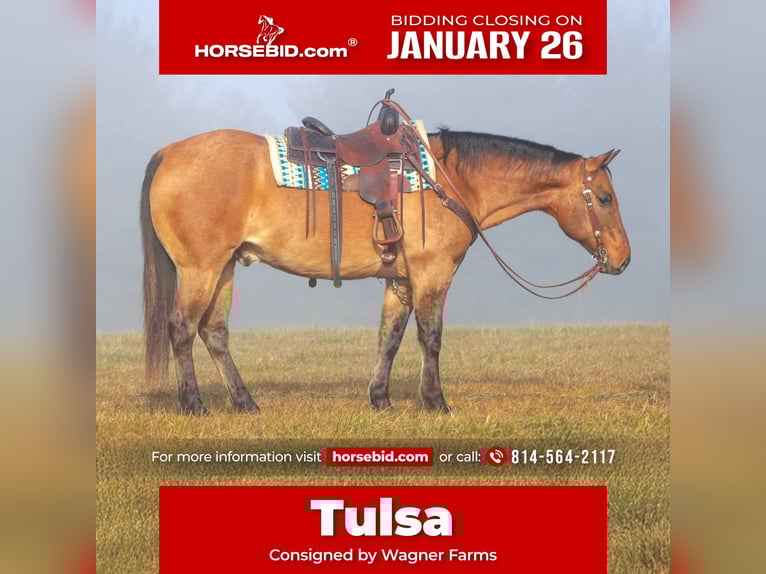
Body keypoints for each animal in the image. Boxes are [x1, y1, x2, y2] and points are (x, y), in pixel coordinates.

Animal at [140, 122, 631, 415]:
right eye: (605, 198)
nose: (623, 258)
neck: (449, 180)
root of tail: (168, 152)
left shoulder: (401, 281)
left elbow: (389, 338)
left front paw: (380, 399)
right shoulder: (433, 273)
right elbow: (430, 337)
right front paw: (435, 402)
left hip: (223, 267)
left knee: (214, 332)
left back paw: (245, 402)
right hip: (200, 268)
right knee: (182, 327)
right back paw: (194, 404)